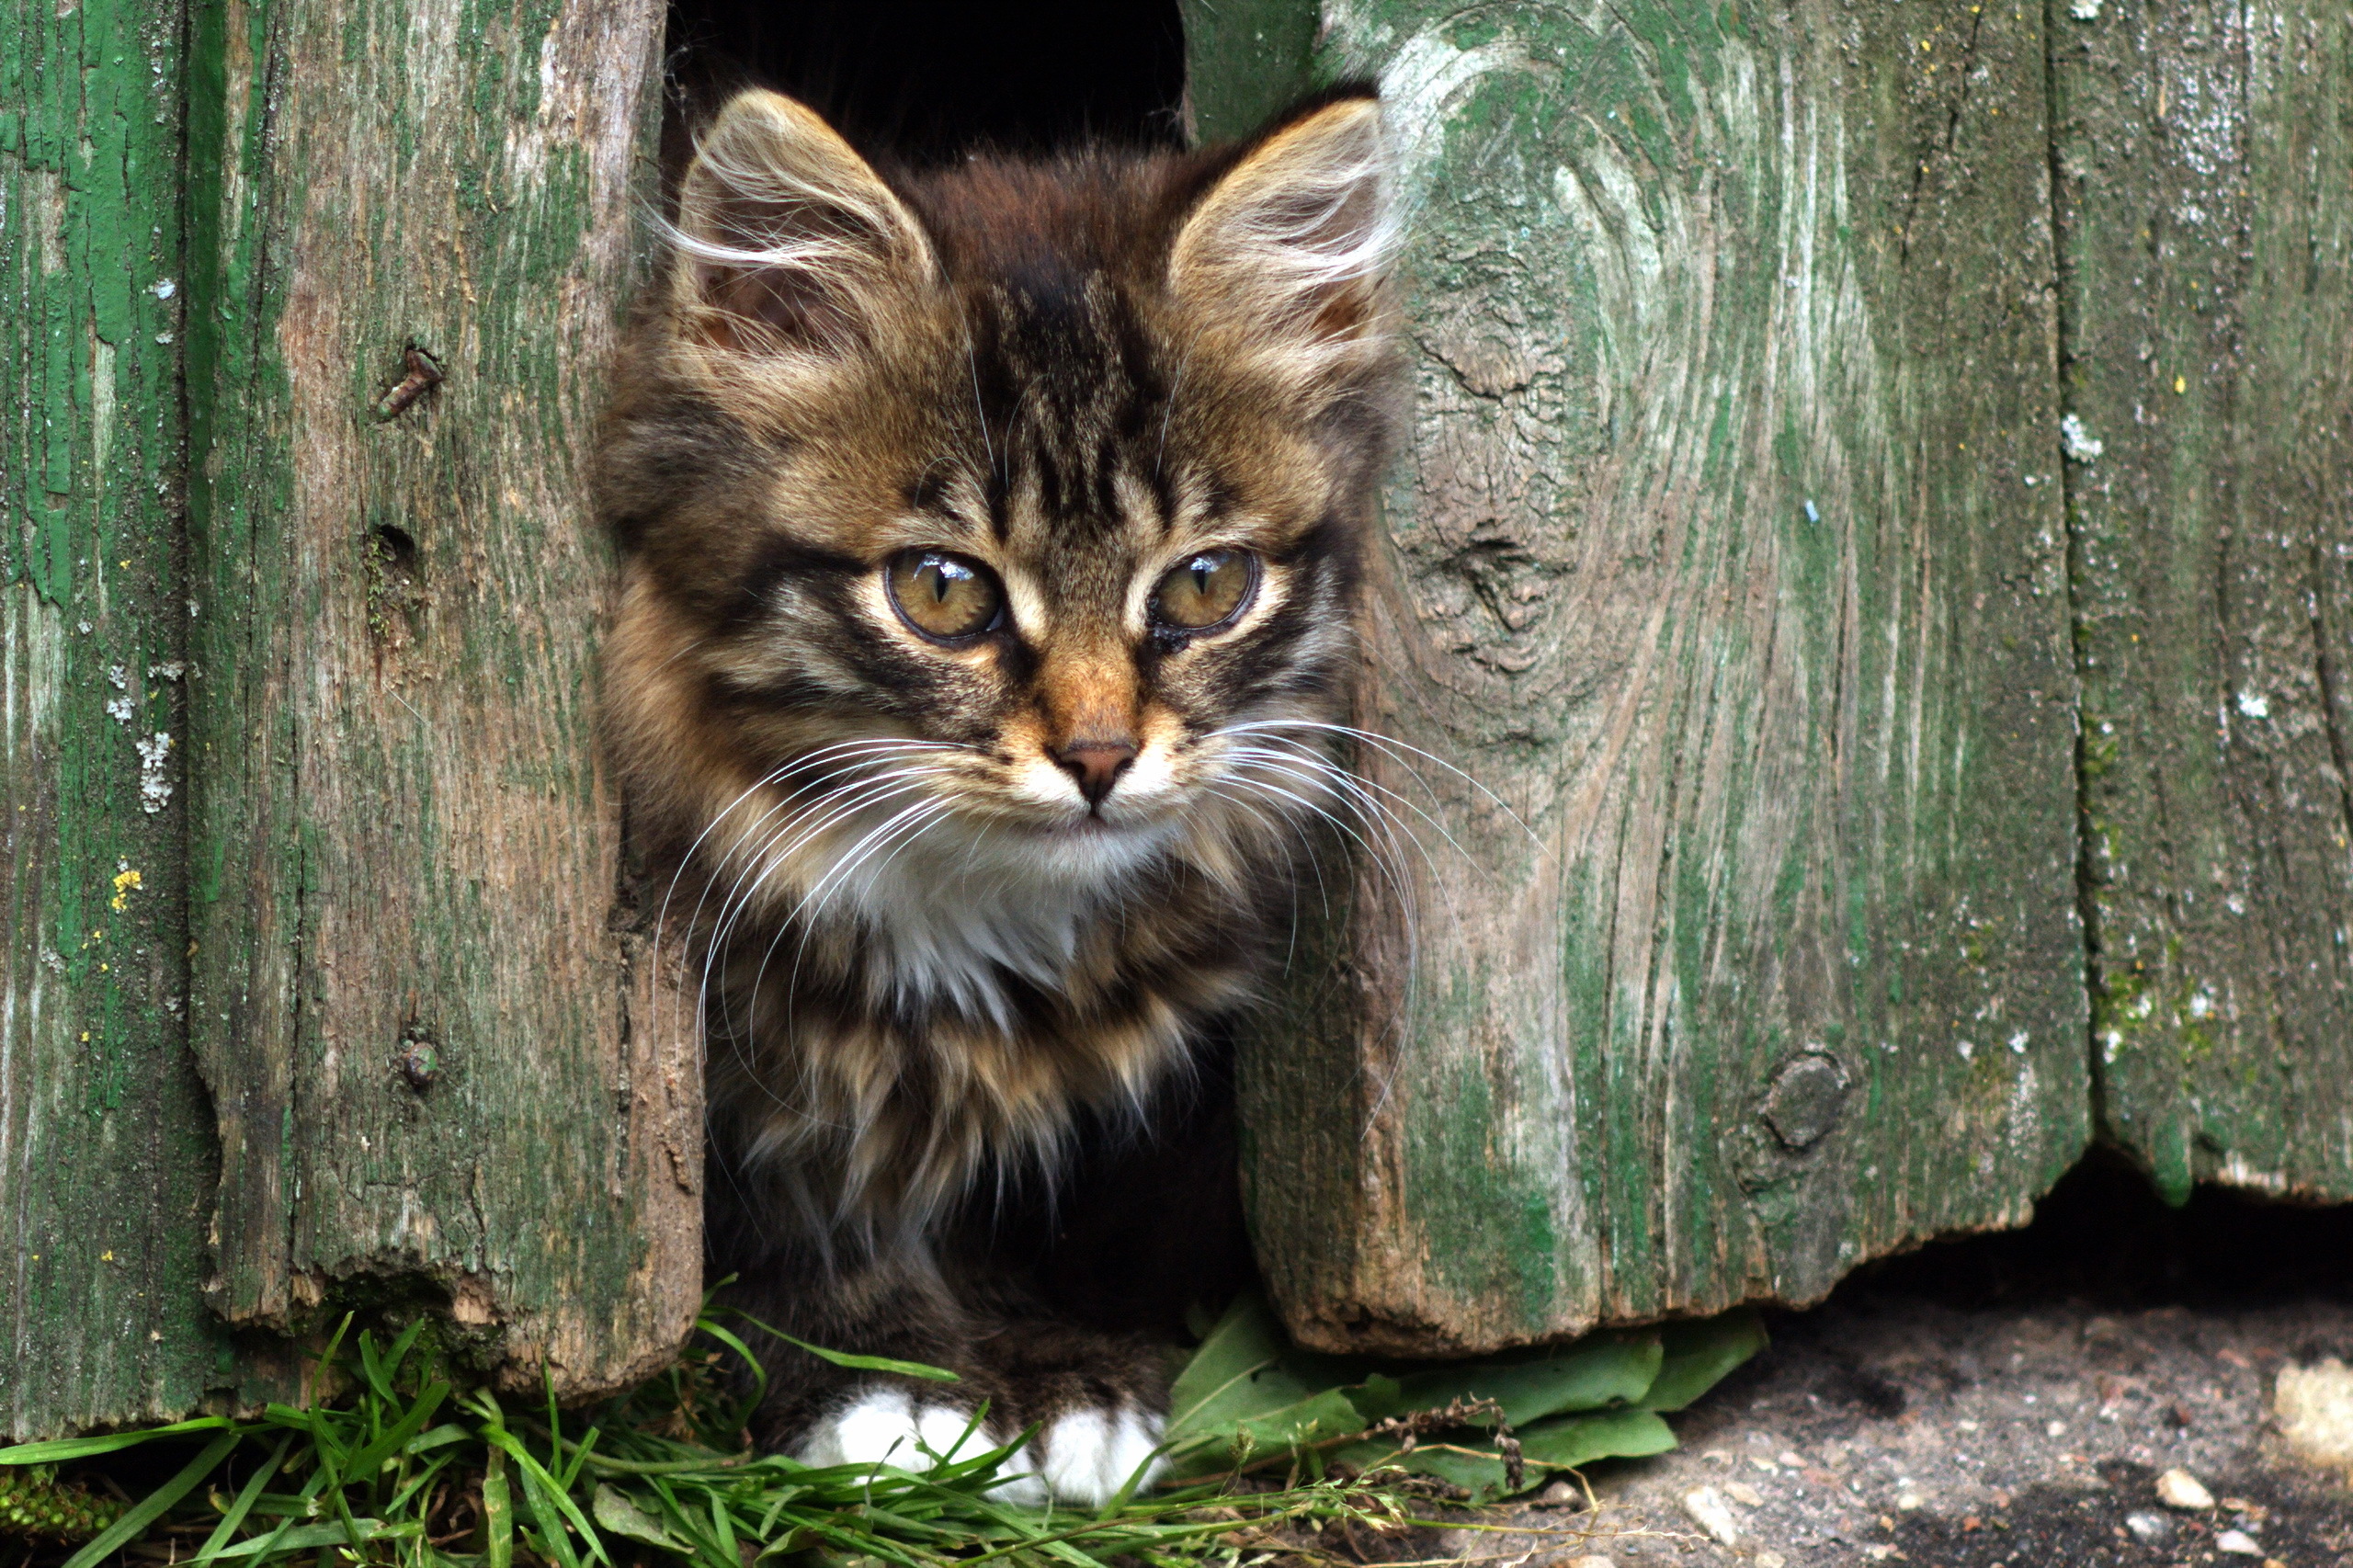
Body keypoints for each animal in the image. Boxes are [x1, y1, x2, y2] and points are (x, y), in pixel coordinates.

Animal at [597, 85, 1392, 1506]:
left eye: (1205, 585)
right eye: (943, 590)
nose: (1098, 755)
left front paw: (1065, 1374)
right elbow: (777, 1240)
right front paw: (883, 1385)